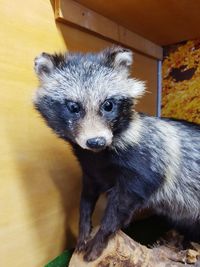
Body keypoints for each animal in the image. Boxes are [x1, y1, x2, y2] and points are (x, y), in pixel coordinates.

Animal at [33, 47, 200, 262]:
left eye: (108, 104)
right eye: (73, 107)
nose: (96, 141)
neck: (99, 156)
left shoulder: (145, 166)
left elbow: (119, 208)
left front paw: (99, 240)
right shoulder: (91, 170)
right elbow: (86, 198)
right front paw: (83, 230)